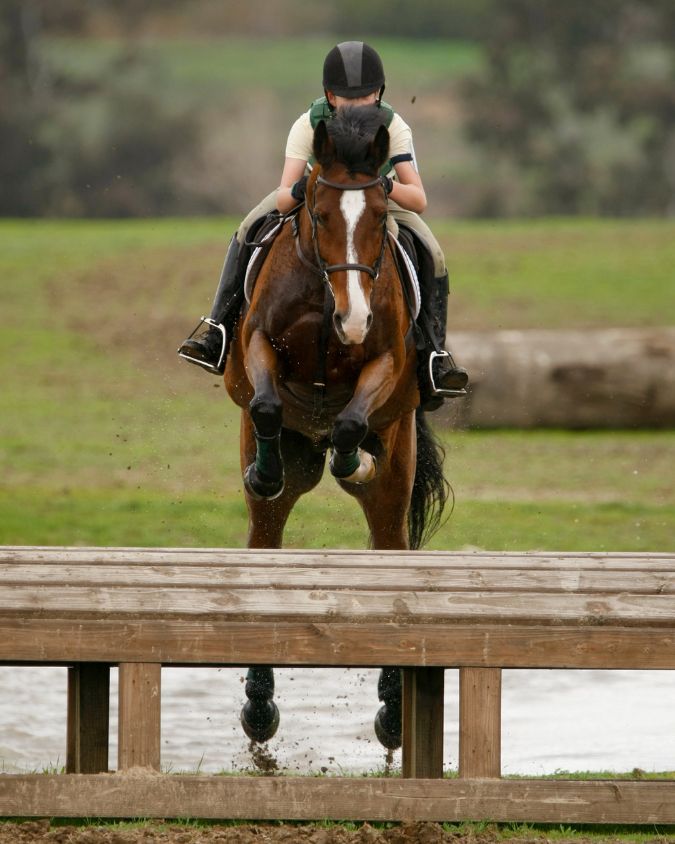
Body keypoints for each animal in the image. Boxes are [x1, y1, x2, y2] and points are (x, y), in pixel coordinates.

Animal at [224, 105, 449, 751]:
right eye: (320, 215)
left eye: (377, 217)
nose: (353, 320)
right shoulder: (256, 344)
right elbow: (267, 403)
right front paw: (266, 469)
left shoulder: (387, 361)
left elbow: (350, 422)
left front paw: (354, 459)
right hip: (279, 485)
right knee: (267, 536)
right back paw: (259, 707)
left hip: (396, 474)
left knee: (389, 544)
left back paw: (394, 713)